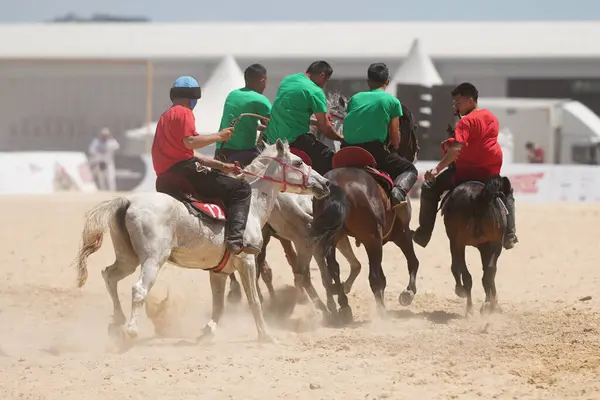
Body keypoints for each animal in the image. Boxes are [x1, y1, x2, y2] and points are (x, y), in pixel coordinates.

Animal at [74, 139, 332, 342]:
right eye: (298, 163)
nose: (325, 183)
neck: (252, 207)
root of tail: (128, 201)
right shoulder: (247, 261)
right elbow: (254, 300)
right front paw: (266, 335)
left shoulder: (218, 272)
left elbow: (218, 305)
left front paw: (208, 331)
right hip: (153, 259)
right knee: (138, 289)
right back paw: (130, 330)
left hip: (128, 258)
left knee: (109, 276)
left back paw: (117, 321)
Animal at [312, 104, 420, 324]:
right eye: (413, 127)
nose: (417, 150)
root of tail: (337, 186)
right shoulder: (401, 232)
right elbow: (413, 262)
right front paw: (408, 293)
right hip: (372, 238)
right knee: (375, 277)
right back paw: (382, 313)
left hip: (335, 235)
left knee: (333, 268)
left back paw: (343, 305)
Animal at [440, 173, 510, 318]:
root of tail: (479, 197)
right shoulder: (487, 246)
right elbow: (488, 272)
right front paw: (493, 304)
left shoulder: (458, 243)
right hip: (493, 244)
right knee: (488, 273)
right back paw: (485, 306)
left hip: (461, 243)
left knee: (471, 275)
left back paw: (472, 307)